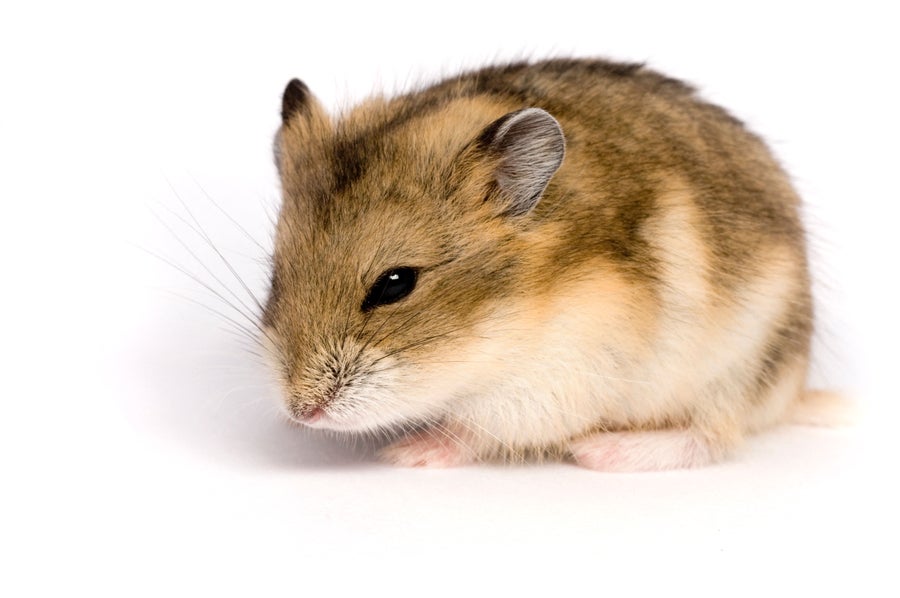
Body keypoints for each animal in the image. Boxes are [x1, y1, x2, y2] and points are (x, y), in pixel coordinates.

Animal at [262, 58, 822, 471]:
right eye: (276, 275)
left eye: (395, 284)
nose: (301, 411)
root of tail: (796, 389)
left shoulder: (555, 382)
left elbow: (471, 430)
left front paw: (403, 453)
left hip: (736, 367)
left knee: (714, 435)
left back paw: (601, 452)